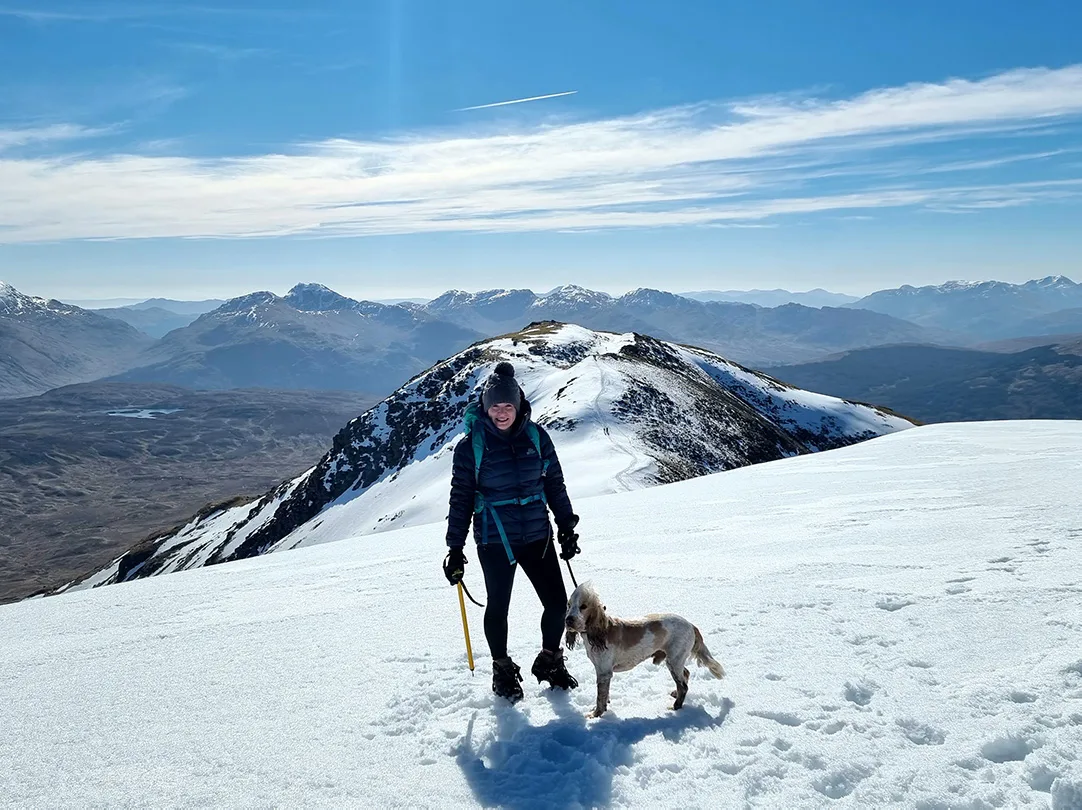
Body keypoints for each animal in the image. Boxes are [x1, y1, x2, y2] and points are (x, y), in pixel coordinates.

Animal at [562, 579, 722, 713]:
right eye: (568, 605)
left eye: (583, 606)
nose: (568, 620)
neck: (600, 632)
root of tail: (691, 625)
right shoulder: (603, 672)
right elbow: (605, 694)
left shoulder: (604, 672)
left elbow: (600, 697)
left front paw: (596, 714)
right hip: (675, 660)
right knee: (686, 674)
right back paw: (675, 694)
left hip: (674, 660)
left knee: (683, 686)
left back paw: (676, 706)